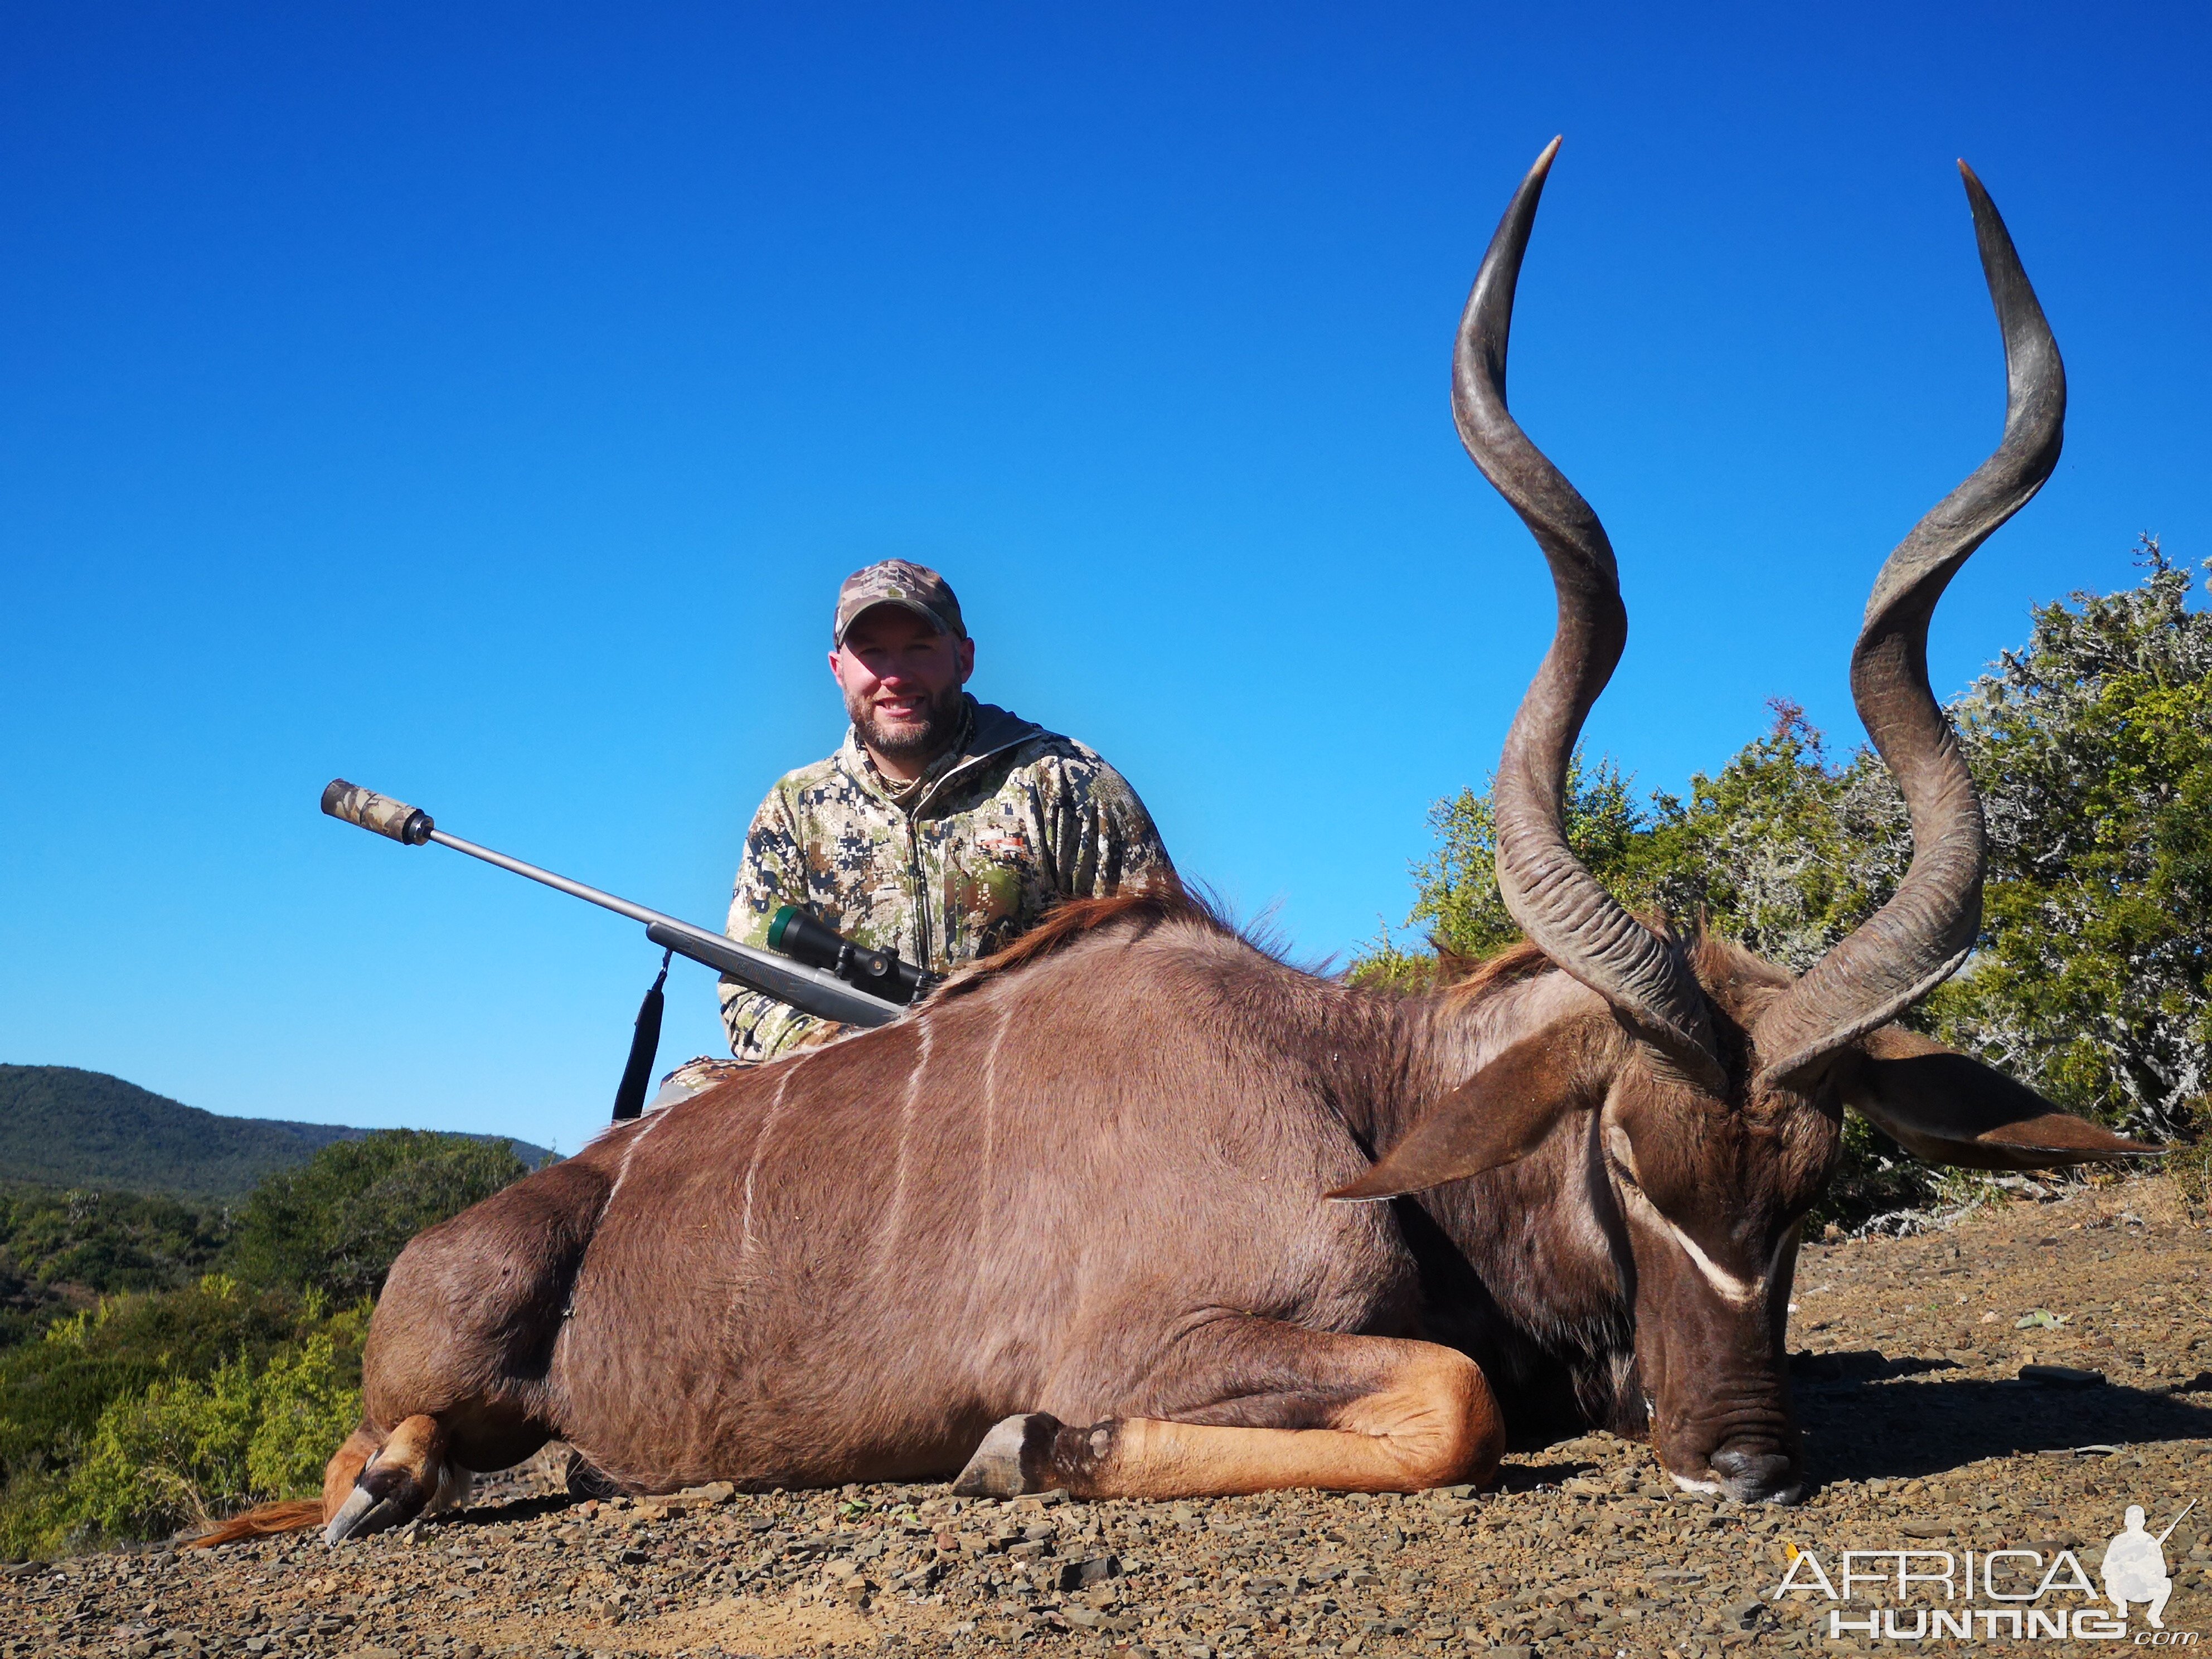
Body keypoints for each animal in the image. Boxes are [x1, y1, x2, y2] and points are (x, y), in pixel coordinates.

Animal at [203, 142, 2141, 1557]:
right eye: (1622, 1157)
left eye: (1811, 1182)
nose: (1738, 1462)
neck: (1360, 1093)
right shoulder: (1176, 1336)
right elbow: (1449, 1407)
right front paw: (1017, 1447)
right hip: (445, 1349)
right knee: (369, 1464)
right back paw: (391, 1488)